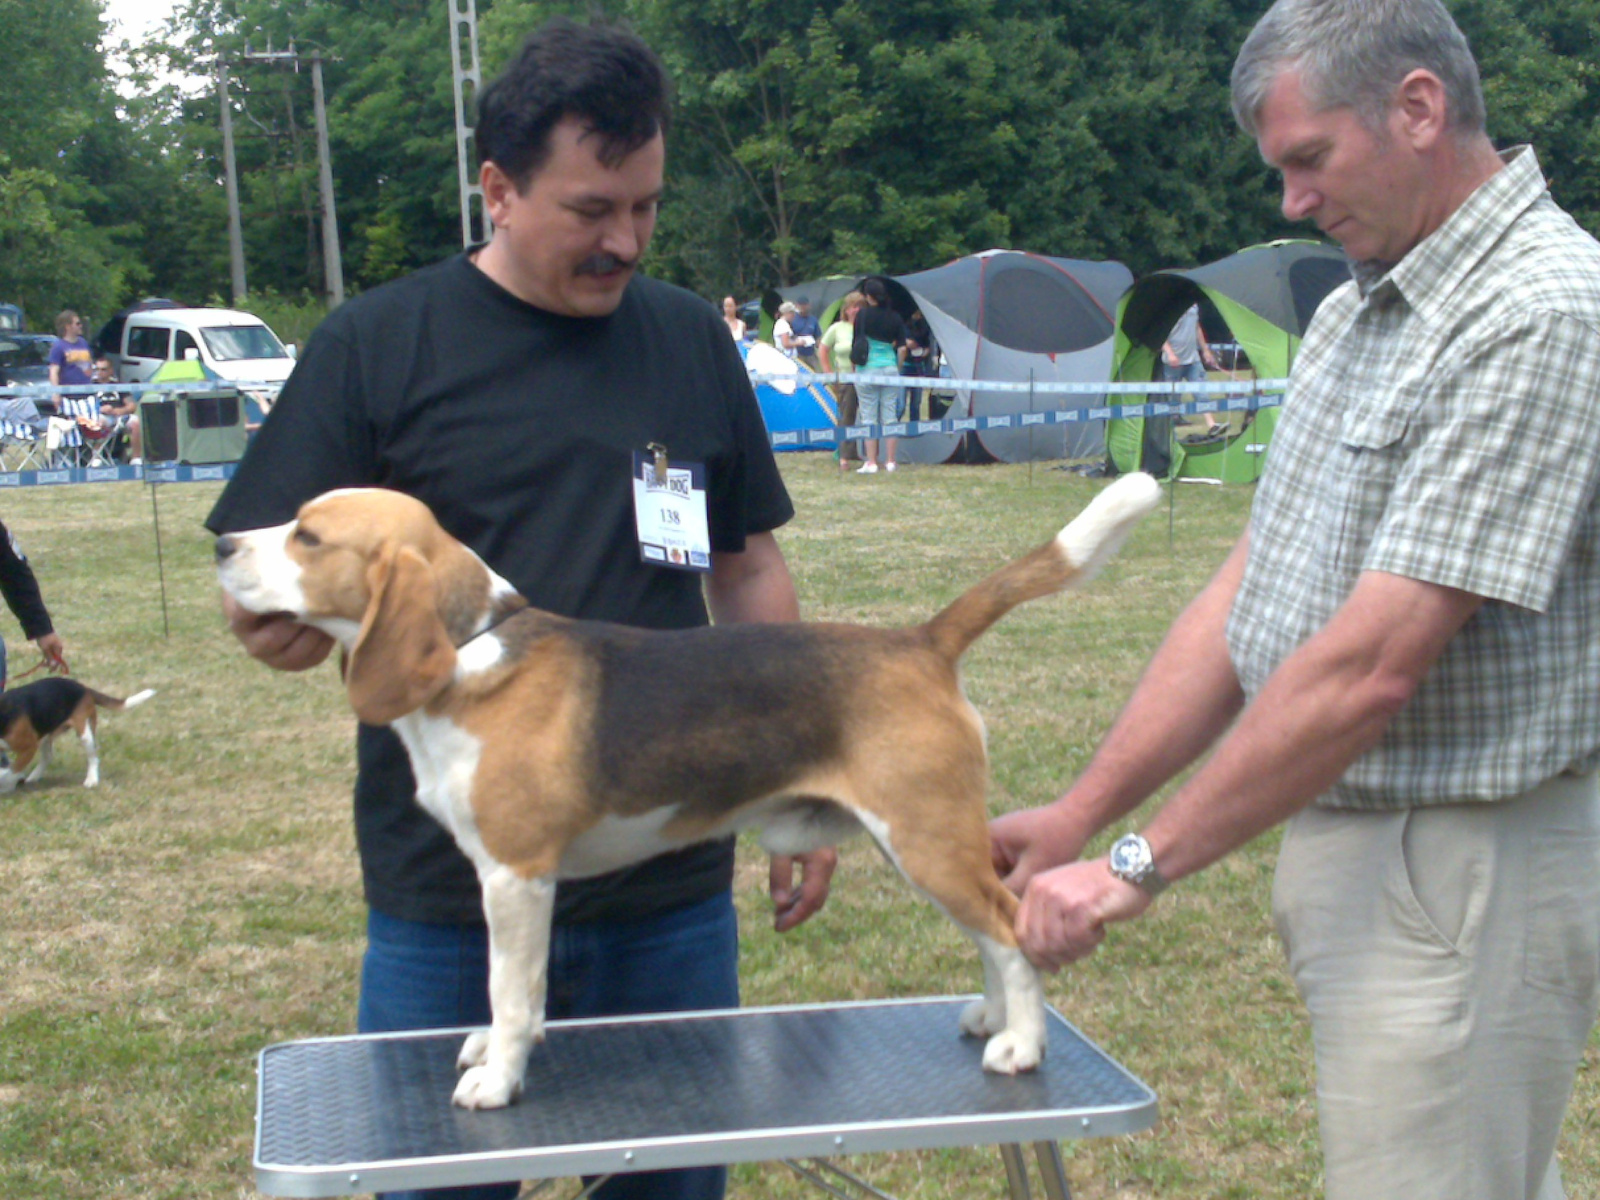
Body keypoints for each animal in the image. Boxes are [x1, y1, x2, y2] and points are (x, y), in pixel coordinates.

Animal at [0, 681, 154, 793]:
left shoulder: (29, 747)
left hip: (84, 732)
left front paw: (7, 786)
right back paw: (34, 776)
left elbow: (11, 771)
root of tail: (83, 687)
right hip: (45, 734)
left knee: (93, 758)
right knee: (48, 756)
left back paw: (91, 780)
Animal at [216, 473, 1164, 1113]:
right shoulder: (509, 879)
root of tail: (921, 641)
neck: (469, 644)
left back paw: (1023, 1046)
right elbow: (510, 987)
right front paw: (493, 1047)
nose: (220, 542)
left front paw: (500, 1076)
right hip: (926, 844)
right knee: (992, 932)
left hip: (925, 838)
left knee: (1010, 927)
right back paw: (991, 1019)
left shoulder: (516, 875)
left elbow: (511, 987)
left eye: (308, 537)